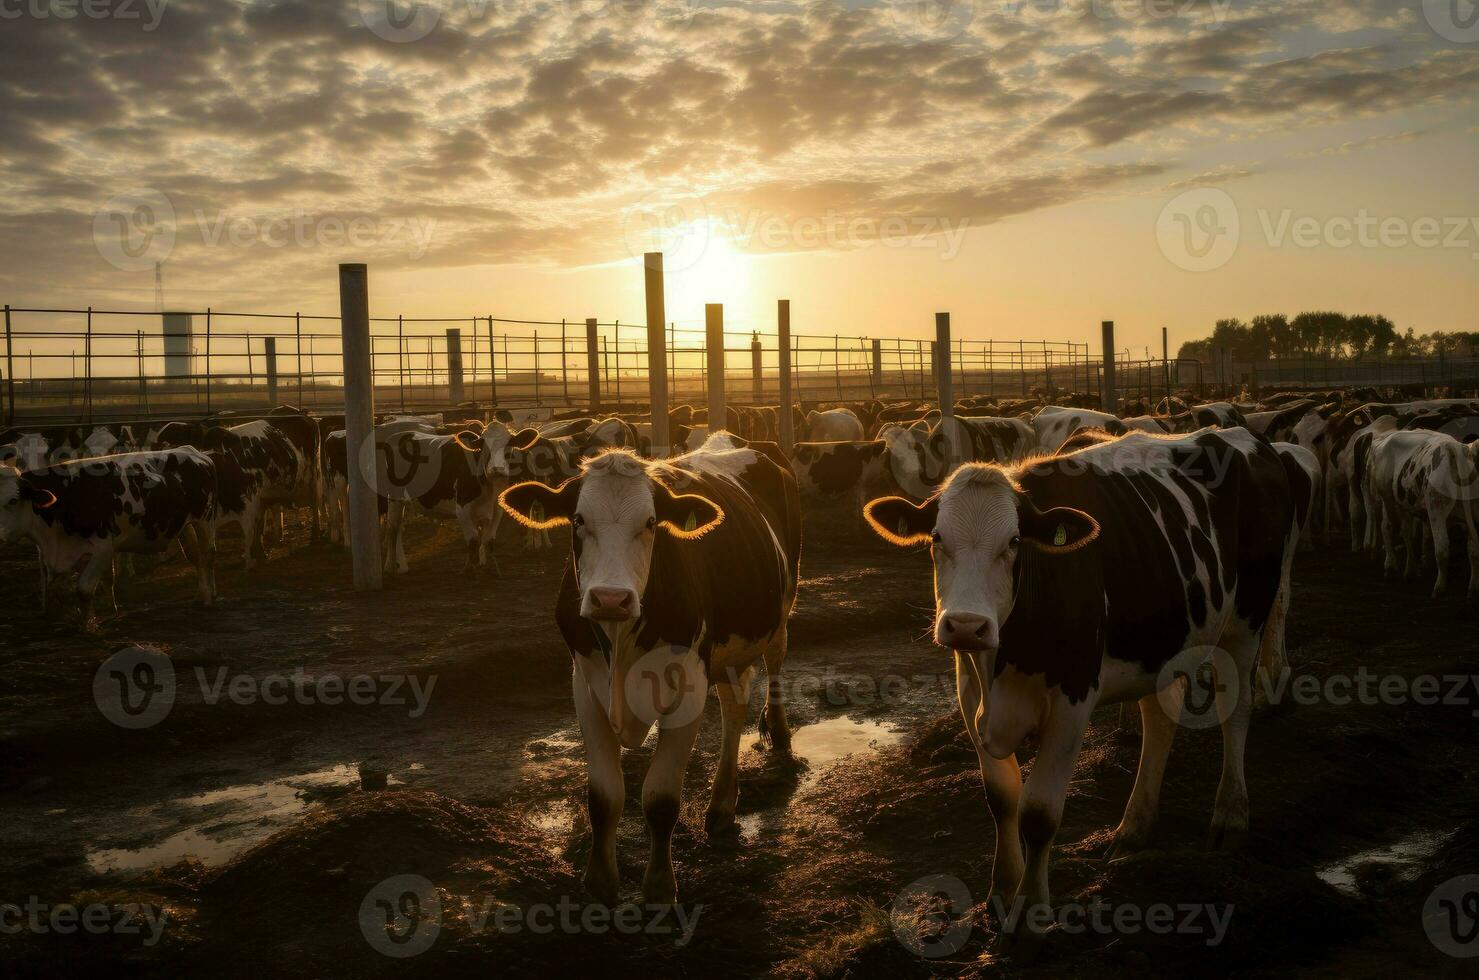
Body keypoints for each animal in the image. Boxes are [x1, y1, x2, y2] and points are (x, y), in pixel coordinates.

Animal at [0, 449, 215, 623]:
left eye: (12, 500)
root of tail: (191, 450)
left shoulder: (103, 547)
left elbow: (84, 589)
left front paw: (87, 625)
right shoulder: (47, 553)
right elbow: (50, 587)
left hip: (204, 520)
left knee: (206, 555)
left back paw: (207, 598)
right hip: (184, 525)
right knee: (195, 557)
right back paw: (200, 595)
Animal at [496, 440, 798, 910]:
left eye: (652, 522)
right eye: (578, 520)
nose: (610, 597)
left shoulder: (689, 684)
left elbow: (660, 800)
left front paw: (659, 886)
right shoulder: (585, 686)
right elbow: (604, 797)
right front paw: (600, 883)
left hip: (781, 608)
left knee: (774, 666)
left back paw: (778, 735)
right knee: (734, 704)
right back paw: (722, 803)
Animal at [863, 428, 1289, 957]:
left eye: (1014, 542)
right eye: (937, 539)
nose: (965, 625)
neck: (1003, 660)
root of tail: (1244, 435)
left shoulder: (1073, 702)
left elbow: (1039, 813)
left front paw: (1028, 917)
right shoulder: (969, 695)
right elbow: (1001, 799)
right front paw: (1003, 890)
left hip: (1247, 618)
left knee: (1237, 709)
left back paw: (1230, 817)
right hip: (1158, 640)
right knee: (1159, 719)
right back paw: (1134, 827)